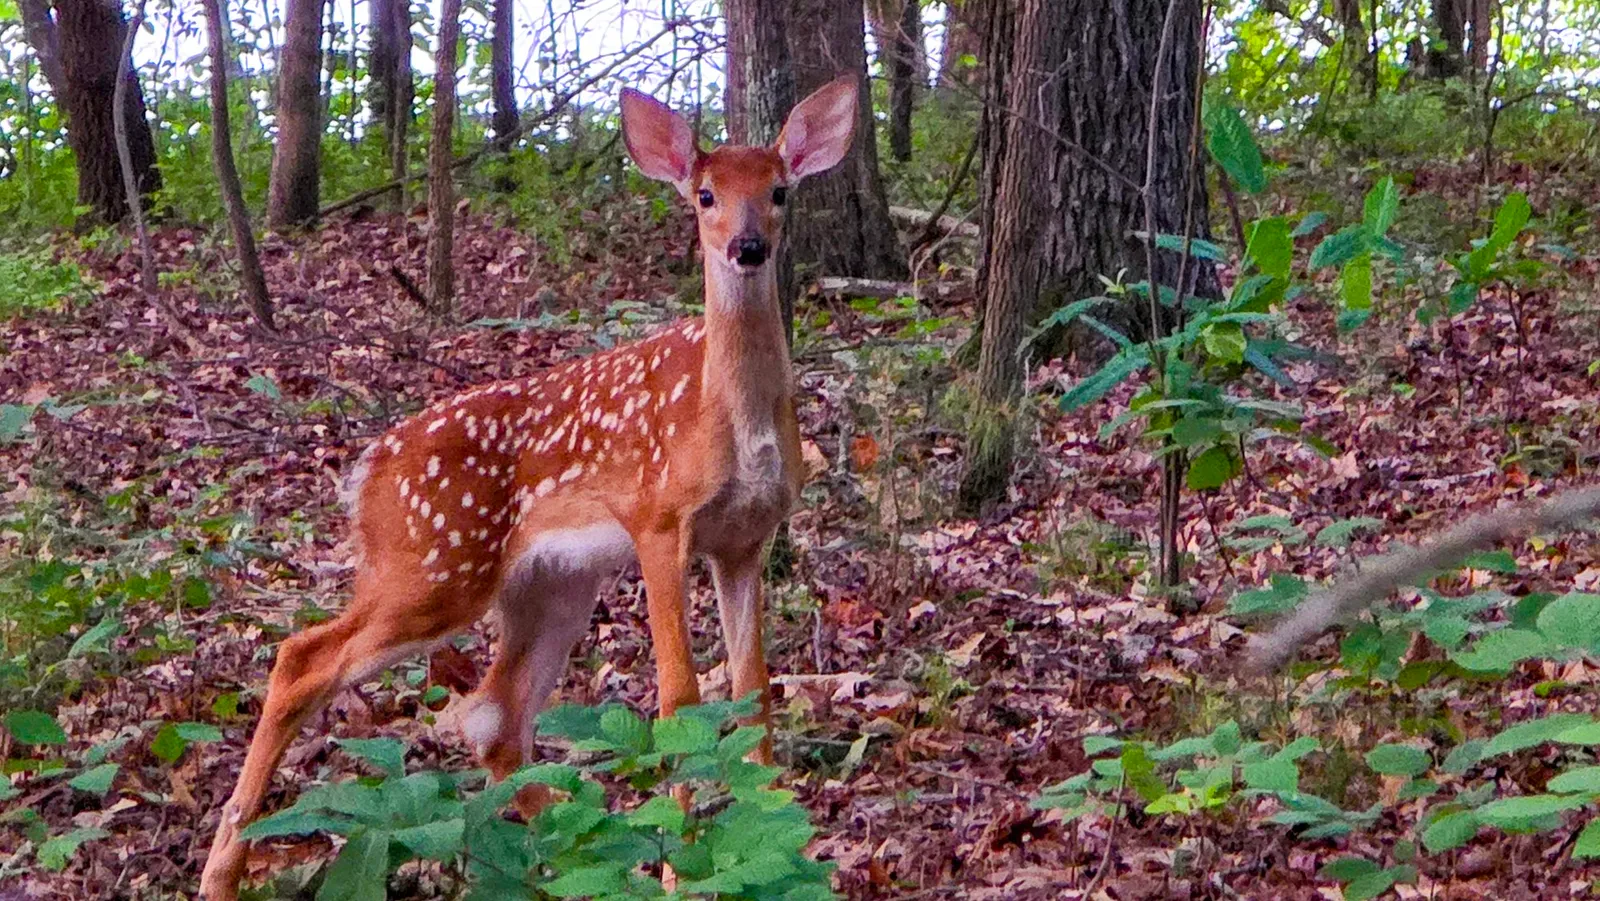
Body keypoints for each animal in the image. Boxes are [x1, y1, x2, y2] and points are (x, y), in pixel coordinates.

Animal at [198, 75, 860, 899]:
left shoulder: (745, 537)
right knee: (303, 658)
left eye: (779, 190)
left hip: (549, 581)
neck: (734, 419)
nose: (747, 247)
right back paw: (221, 870)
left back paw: (579, 847)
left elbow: (755, 689)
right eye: (704, 194)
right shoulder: (658, 516)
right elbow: (680, 697)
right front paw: (680, 869)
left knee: (493, 712)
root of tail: (367, 470)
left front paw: (778, 834)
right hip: (435, 563)